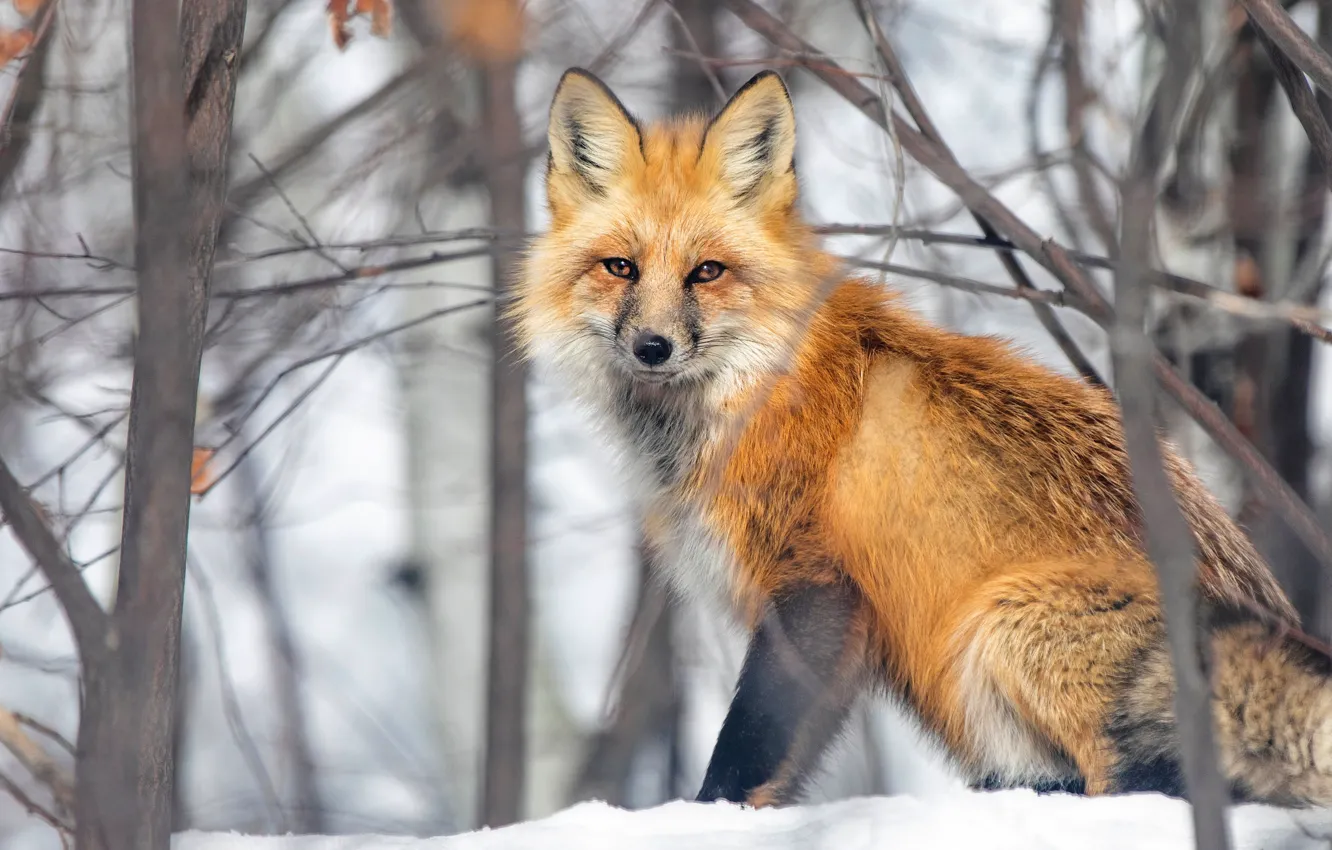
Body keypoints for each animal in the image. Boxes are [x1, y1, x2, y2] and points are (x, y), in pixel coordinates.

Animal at [510, 65, 1332, 809]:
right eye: (620, 267)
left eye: (707, 272)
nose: (652, 347)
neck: (753, 390)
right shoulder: (838, 638)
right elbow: (784, 768)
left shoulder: (816, 585)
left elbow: (744, 751)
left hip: (1006, 626)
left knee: (1150, 783)